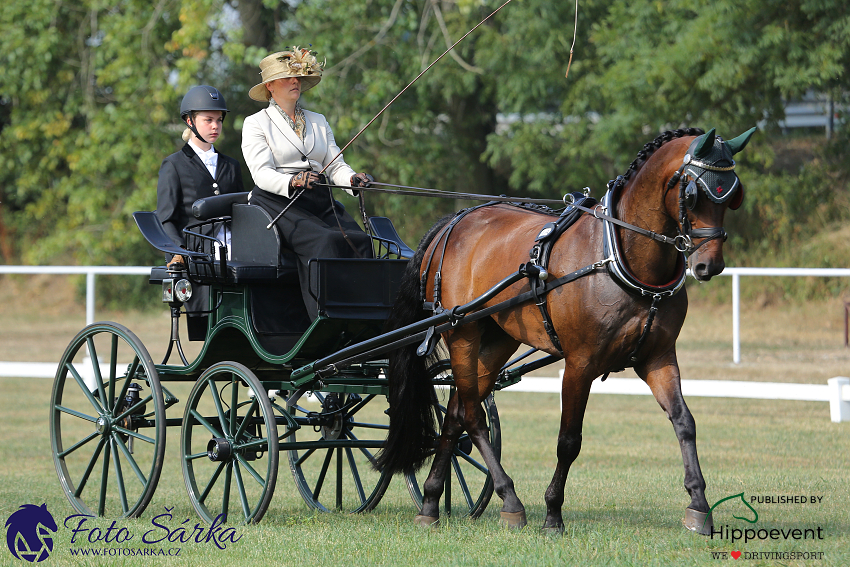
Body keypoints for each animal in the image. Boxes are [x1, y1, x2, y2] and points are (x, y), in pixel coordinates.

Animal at [376, 127, 756, 532]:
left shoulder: (658, 357)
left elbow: (684, 423)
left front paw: (698, 505)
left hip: (498, 338)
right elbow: (568, 440)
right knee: (474, 416)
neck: (617, 254)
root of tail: (453, 221)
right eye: (693, 193)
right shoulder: (579, 363)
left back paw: (432, 501)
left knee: (457, 412)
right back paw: (509, 500)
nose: (709, 265)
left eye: (733, 194)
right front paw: (553, 513)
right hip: (463, 332)